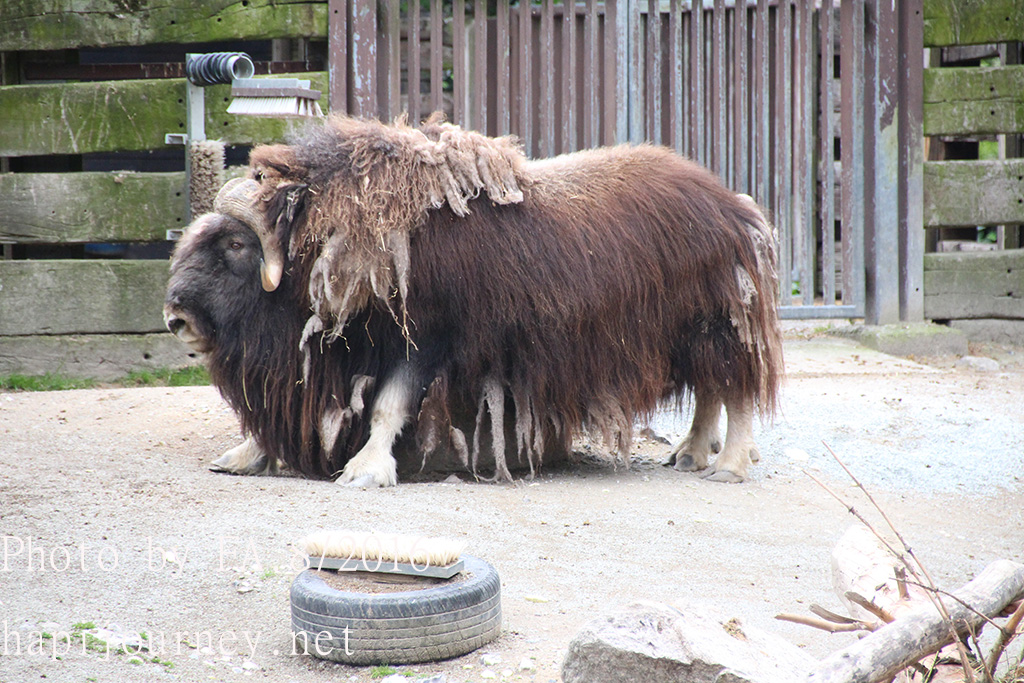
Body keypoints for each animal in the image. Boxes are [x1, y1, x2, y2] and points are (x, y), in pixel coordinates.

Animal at [164, 114, 783, 486]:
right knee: (711, 390)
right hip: (691, 336)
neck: (334, 242)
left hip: (719, 324)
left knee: (734, 390)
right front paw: (244, 455)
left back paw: (727, 466)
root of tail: (736, 206)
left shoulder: (424, 341)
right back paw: (690, 453)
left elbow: (390, 403)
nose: (176, 317)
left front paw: (366, 470)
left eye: (236, 243)